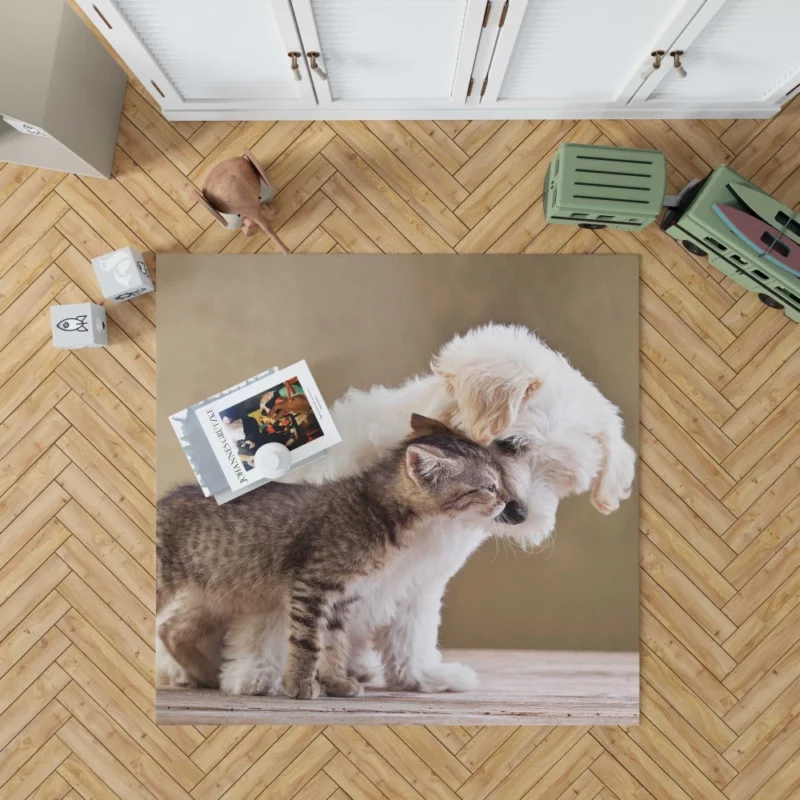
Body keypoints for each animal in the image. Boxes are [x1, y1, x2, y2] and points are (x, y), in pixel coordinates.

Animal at [158, 416, 506, 696]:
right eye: (489, 487)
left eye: (499, 483)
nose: (507, 502)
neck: (378, 511)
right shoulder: (311, 585)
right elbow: (307, 641)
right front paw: (299, 684)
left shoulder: (342, 597)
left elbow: (333, 644)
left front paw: (335, 681)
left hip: (222, 592)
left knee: (171, 629)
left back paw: (207, 675)